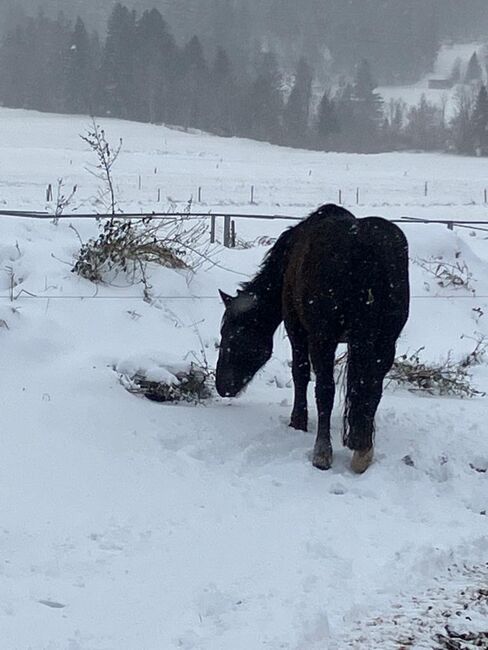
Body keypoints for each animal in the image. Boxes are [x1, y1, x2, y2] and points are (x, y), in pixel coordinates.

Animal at [215, 202, 410, 470]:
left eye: (231, 336)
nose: (221, 386)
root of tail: (362, 246)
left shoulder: (297, 329)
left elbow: (301, 373)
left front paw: (298, 421)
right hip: (385, 342)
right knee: (372, 388)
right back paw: (362, 450)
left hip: (322, 340)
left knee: (325, 390)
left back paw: (322, 452)